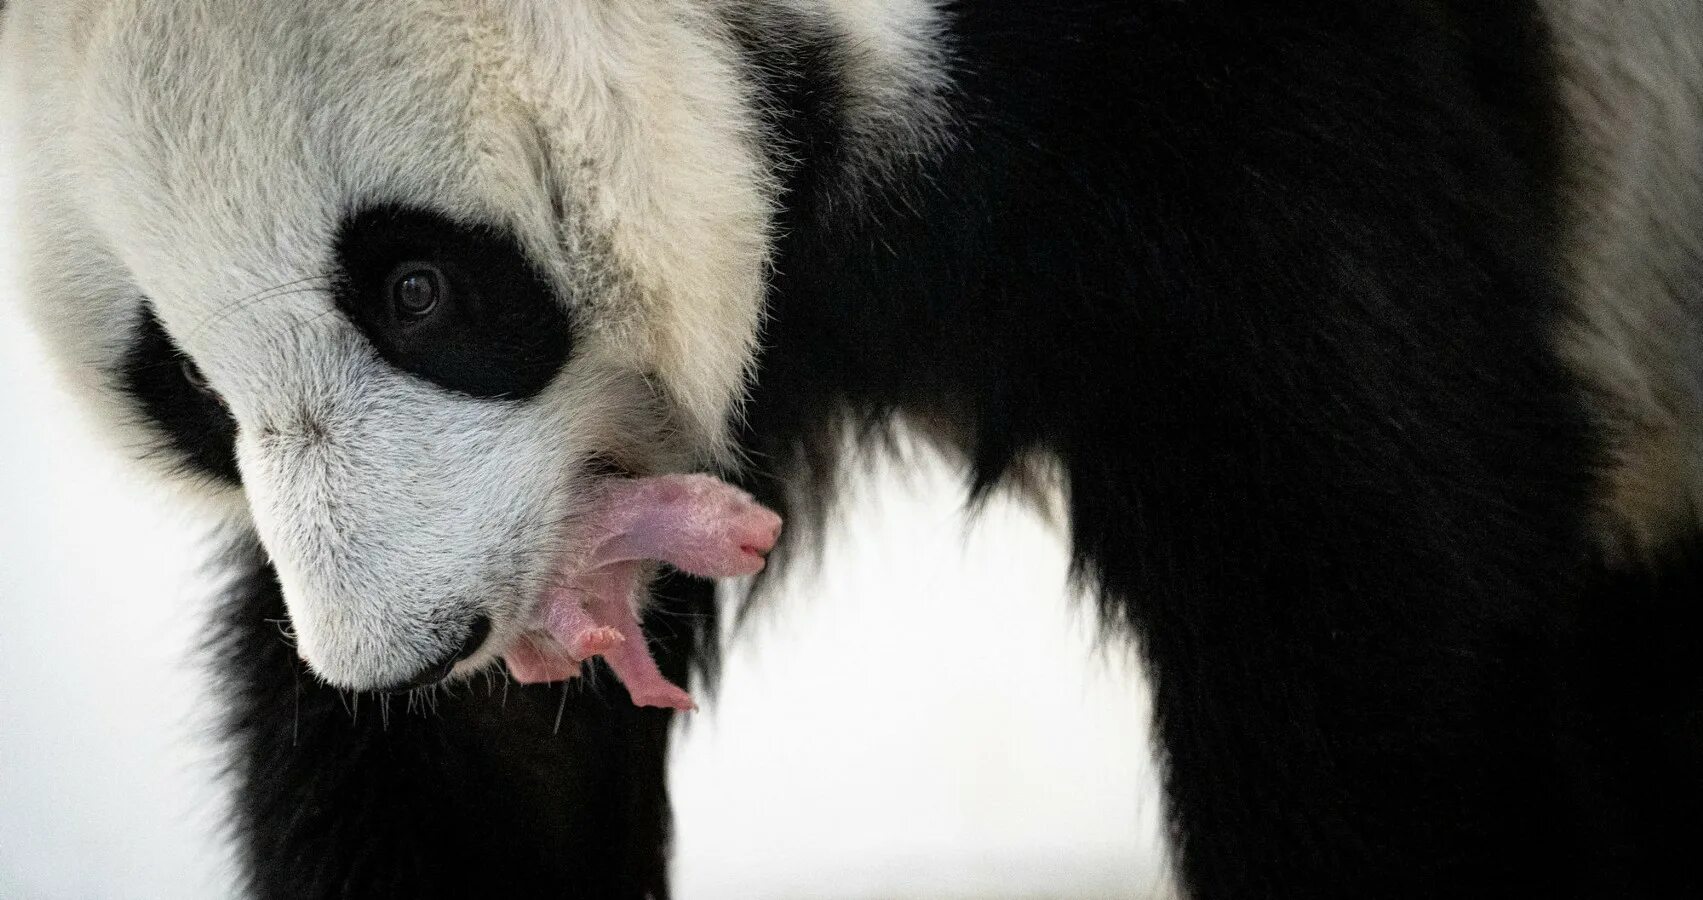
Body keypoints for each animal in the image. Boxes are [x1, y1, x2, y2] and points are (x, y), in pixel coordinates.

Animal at [3, 0, 1703, 893]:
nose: (408, 650)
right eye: (184, 383)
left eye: (416, 286)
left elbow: (1362, 599)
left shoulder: (1258, 110)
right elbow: (475, 776)